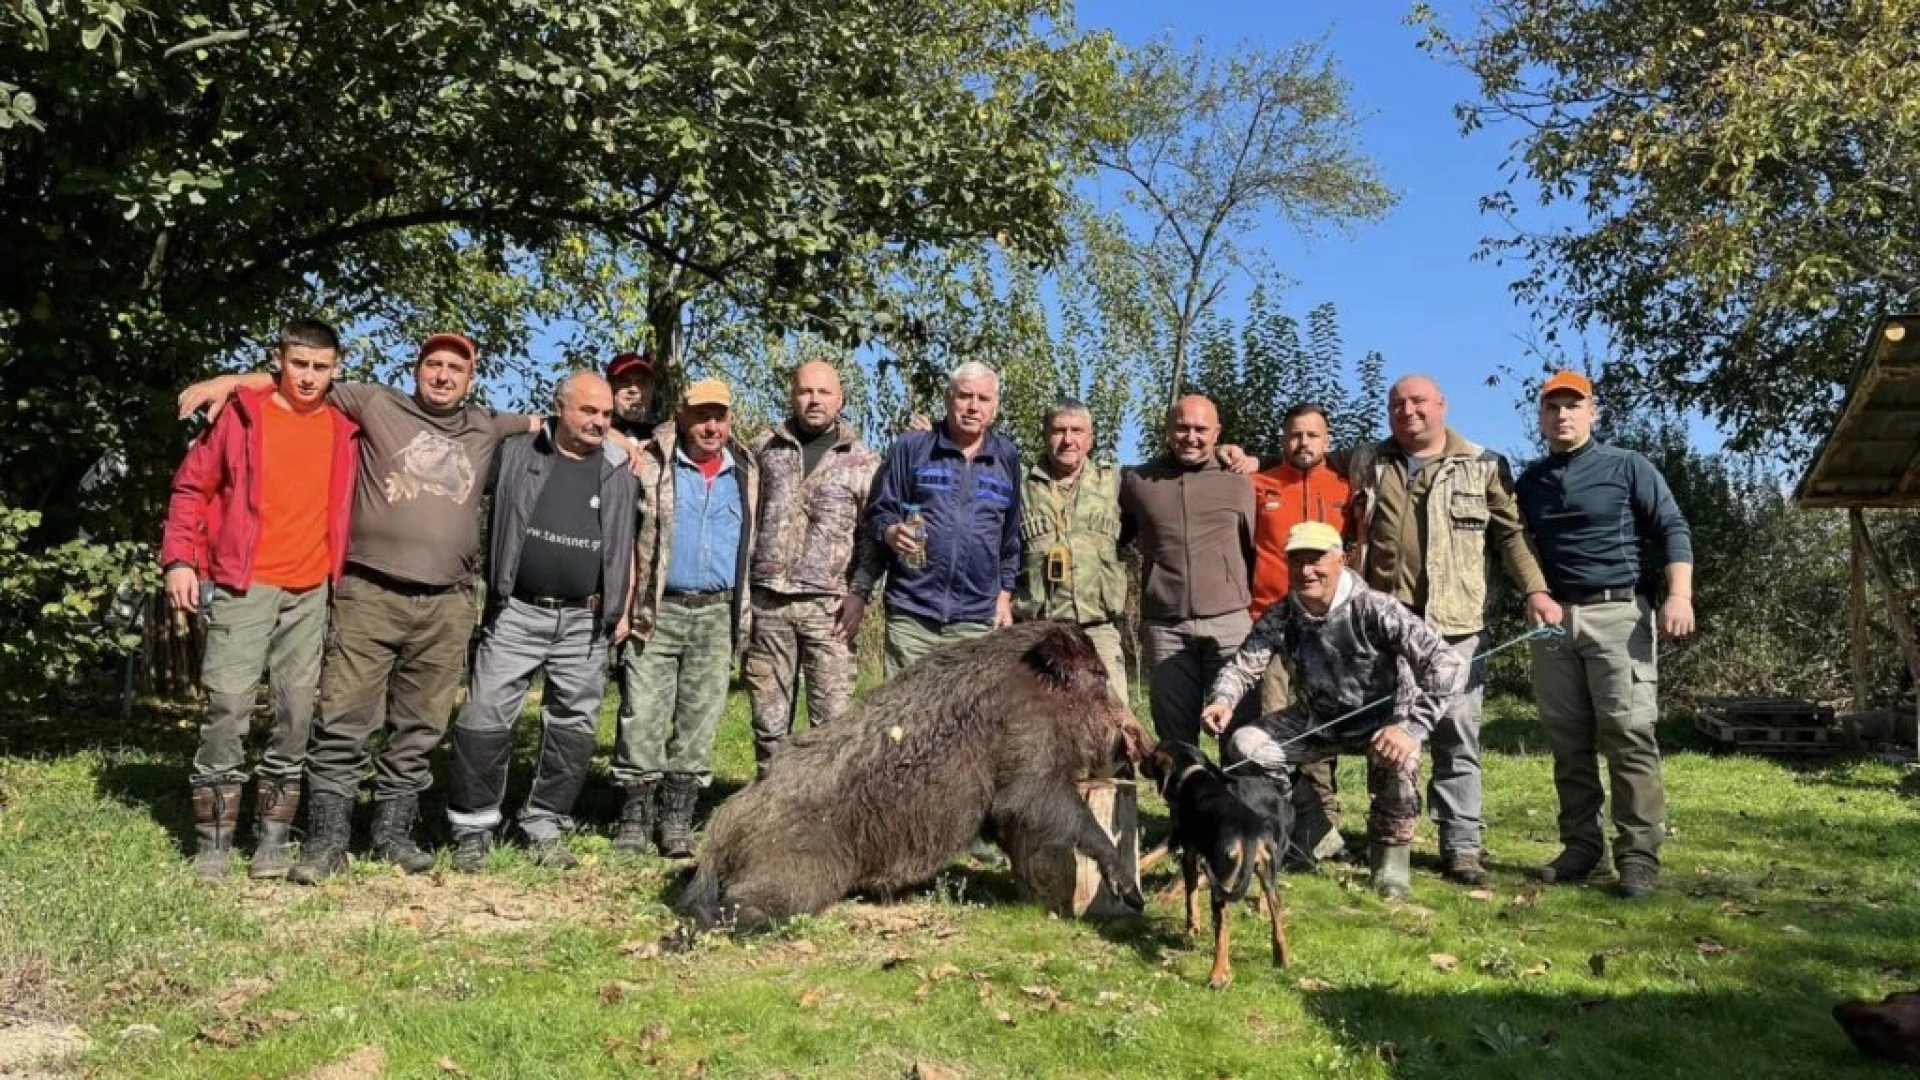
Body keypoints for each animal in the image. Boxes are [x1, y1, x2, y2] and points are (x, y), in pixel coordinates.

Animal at [1136, 737, 1290, 983]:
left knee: (1223, 925)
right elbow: (1148, 857)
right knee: (1277, 915)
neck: (1192, 773)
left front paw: (1192, 929)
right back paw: (1281, 960)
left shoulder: (1188, 850)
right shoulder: (1177, 837)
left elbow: (1190, 898)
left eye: (1152, 755)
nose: (1139, 763)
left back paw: (1218, 974)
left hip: (1223, 878)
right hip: (1268, 876)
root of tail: (1249, 835)